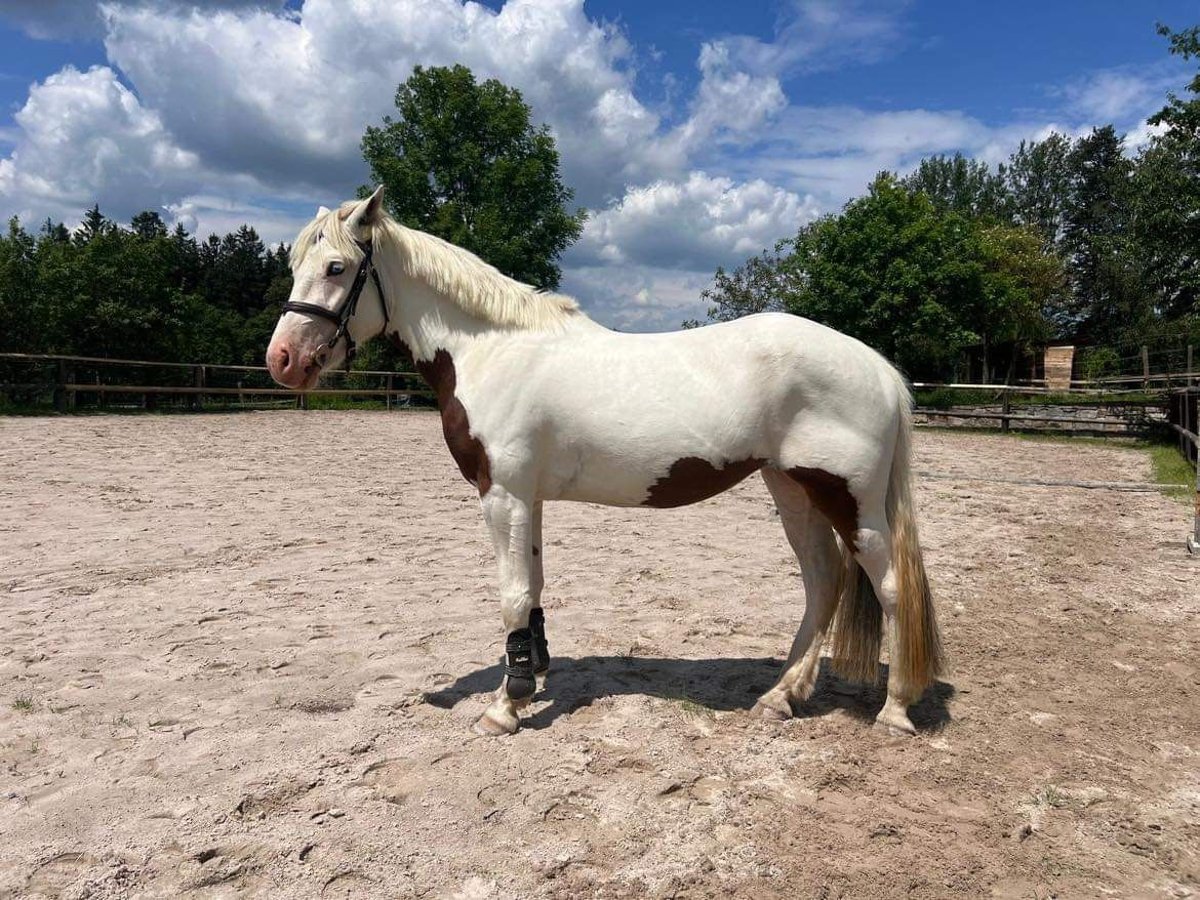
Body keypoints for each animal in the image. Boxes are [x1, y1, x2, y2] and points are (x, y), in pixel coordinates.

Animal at [267, 188, 940, 739]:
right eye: (296, 266)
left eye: (336, 268)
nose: (282, 361)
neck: (493, 352)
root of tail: (879, 369)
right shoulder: (528, 498)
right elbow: (534, 587)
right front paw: (531, 677)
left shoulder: (503, 494)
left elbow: (512, 593)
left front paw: (504, 706)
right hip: (793, 490)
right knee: (823, 581)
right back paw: (782, 696)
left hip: (851, 499)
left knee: (890, 588)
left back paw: (896, 710)